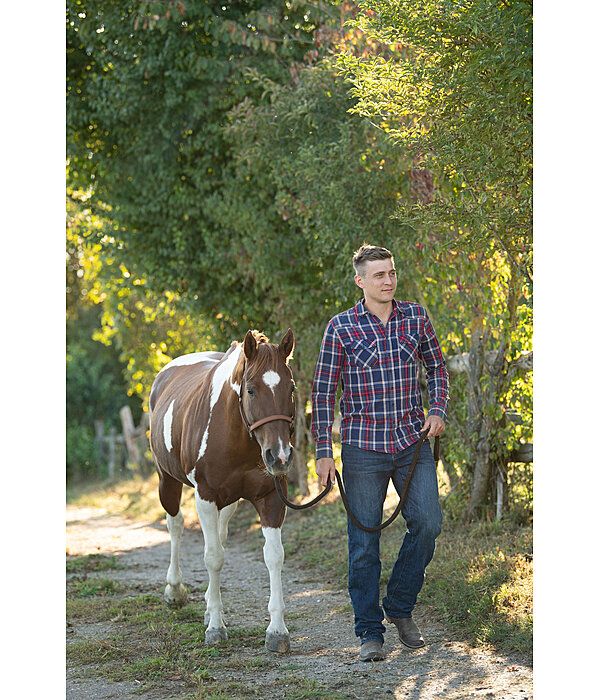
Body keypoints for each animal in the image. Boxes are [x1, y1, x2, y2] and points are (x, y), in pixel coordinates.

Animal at [146, 328, 294, 652]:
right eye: (250, 390)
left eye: (290, 388)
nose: (279, 456)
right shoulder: (205, 497)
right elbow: (213, 557)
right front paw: (215, 626)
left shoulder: (271, 498)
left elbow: (274, 556)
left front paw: (277, 630)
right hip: (168, 481)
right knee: (175, 526)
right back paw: (175, 590)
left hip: (229, 501)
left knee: (220, 535)